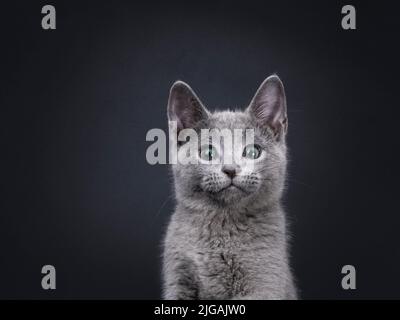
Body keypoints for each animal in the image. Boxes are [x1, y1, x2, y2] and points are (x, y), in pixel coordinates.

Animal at [162, 75, 296, 300]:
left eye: (253, 151)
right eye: (208, 152)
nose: (231, 169)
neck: (222, 223)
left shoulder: (264, 283)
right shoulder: (178, 278)